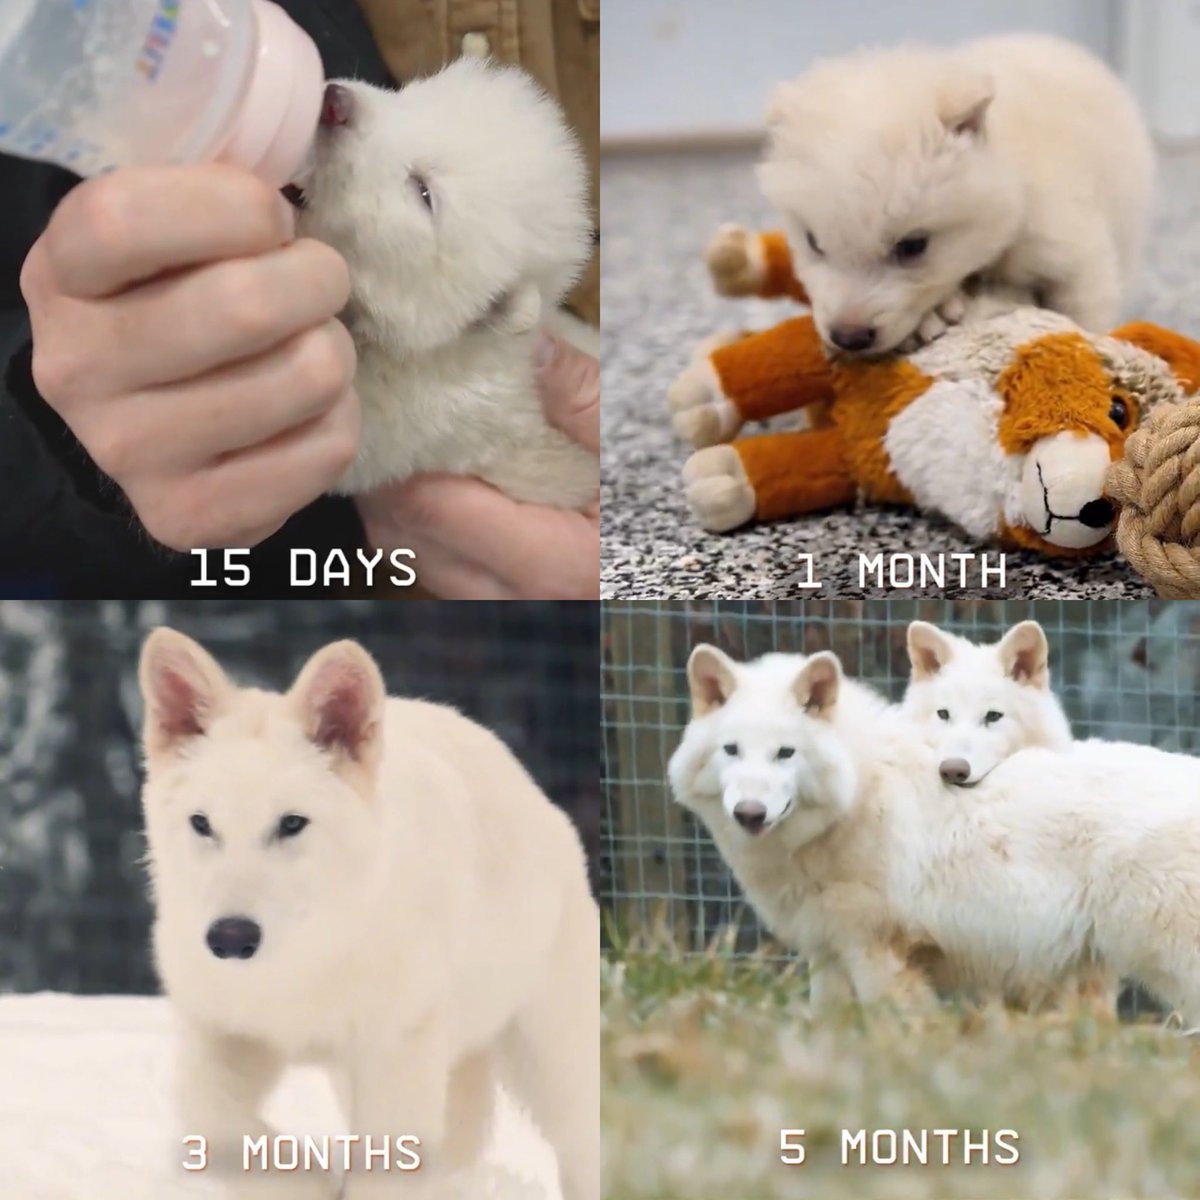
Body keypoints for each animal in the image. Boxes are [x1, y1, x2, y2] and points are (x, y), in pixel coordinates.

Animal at [137, 628, 598, 1200]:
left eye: (292, 823)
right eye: (202, 824)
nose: (230, 938)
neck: (303, 962)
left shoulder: (396, 1052)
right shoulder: (224, 1032)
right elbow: (208, 1115)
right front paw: (311, 1185)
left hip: (553, 1061)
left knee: (583, 1146)